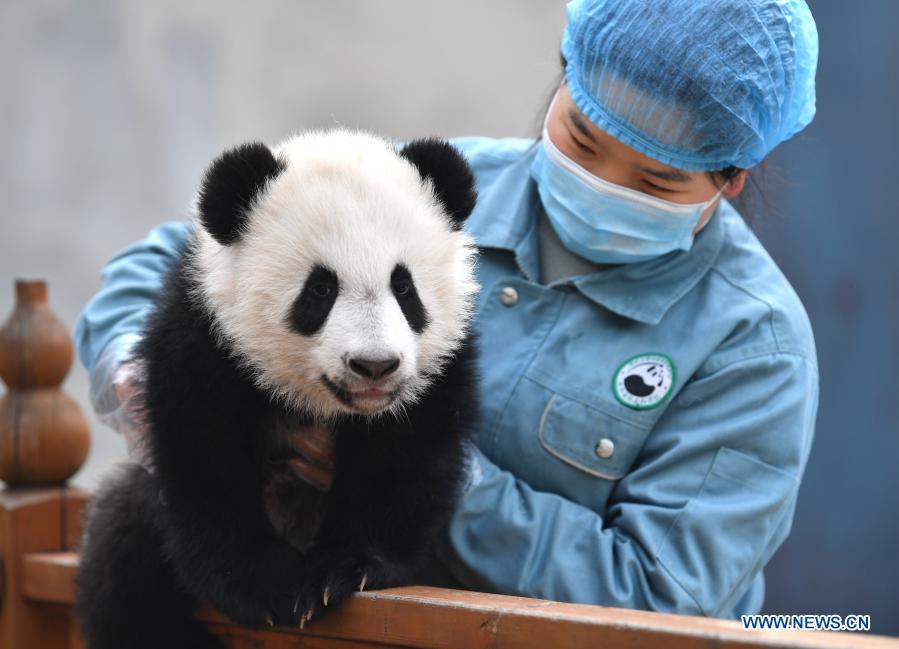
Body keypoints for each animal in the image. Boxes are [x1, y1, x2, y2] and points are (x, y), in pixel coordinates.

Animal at [74, 130, 482, 649]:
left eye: (404, 287)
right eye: (320, 290)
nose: (374, 366)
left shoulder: (435, 376)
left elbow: (402, 466)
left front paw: (347, 569)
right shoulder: (207, 339)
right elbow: (206, 457)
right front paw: (269, 586)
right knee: (124, 564)